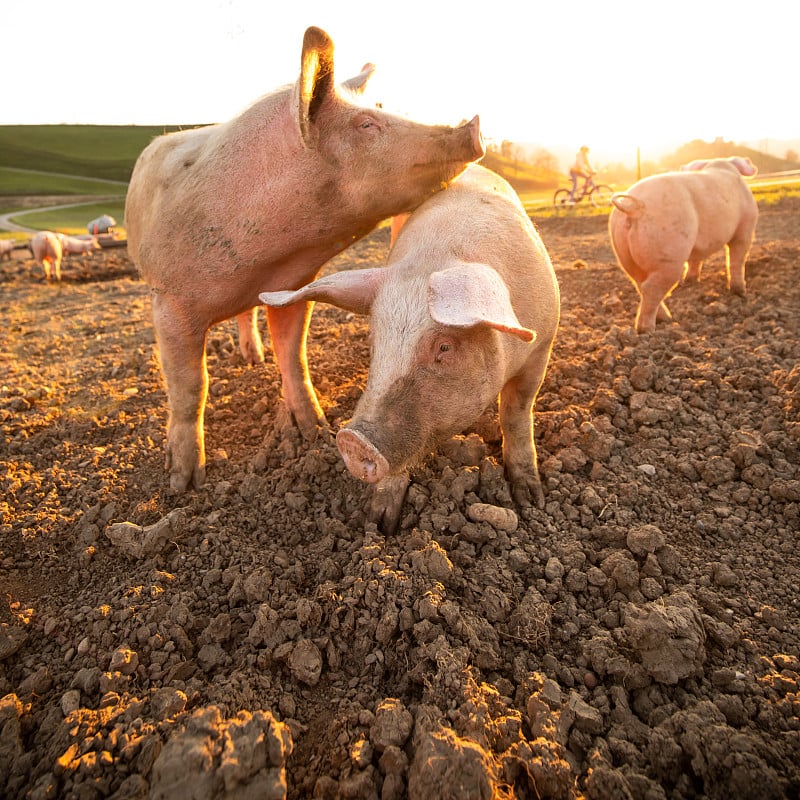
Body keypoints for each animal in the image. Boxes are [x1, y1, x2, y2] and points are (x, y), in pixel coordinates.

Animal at [125, 26, 482, 494]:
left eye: (378, 109)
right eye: (367, 124)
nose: (474, 125)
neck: (263, 268)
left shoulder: (293, 285)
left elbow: (294, 358)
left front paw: (316, 431)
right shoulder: (169, 301)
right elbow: (190, 388)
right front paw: (183, 482)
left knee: (248, 319)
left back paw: (253, 359)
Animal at [260, 162, 560, 536]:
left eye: (444, 346)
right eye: (375, 340)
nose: (352, 440)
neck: (439, 254)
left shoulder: (542, 344)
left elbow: (516, 415)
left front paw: (532, 502)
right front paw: (379, 524)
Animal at [608, 155, 760, 332]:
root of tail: (634, 207)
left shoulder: (697, 246)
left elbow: (695, 260)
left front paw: (691, 281)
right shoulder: (746, 228)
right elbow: (737, 259)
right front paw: (740, 292)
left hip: (625, 257)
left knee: (640, 285)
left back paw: (666, 319)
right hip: (669, 255)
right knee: (650, 288)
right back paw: (648, 329)